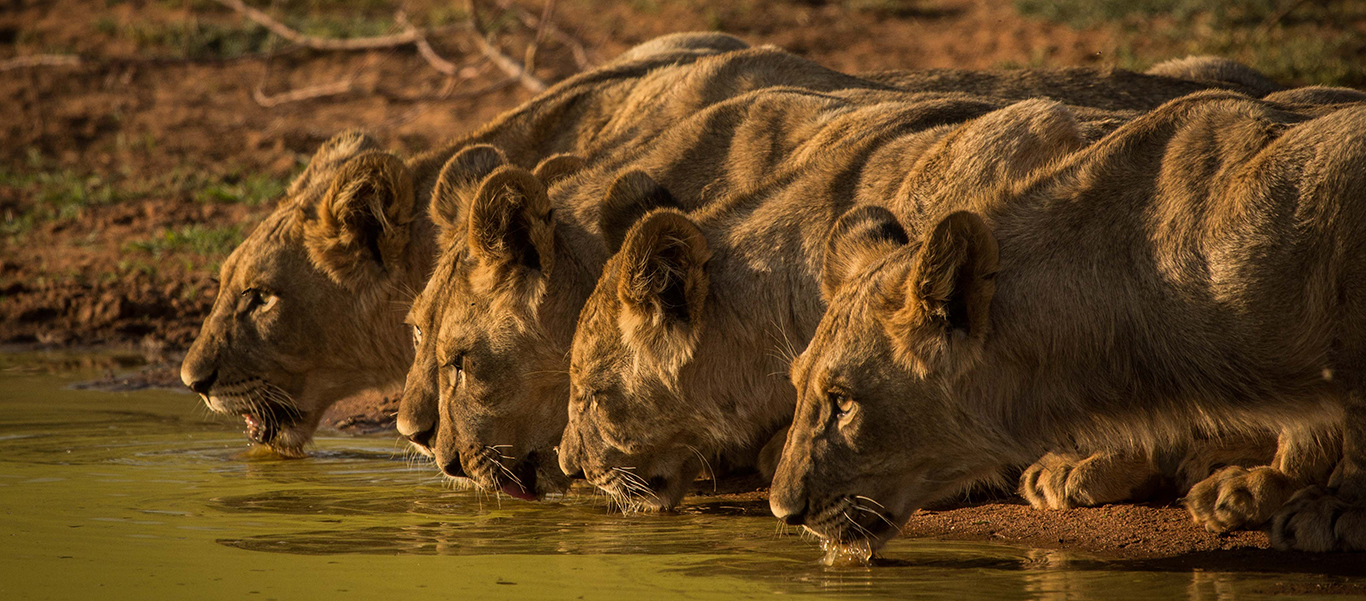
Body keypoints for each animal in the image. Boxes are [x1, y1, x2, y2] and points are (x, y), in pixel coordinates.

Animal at [775, 89, 1366, 560]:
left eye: (843, 402)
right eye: (798, 387)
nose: (783, 511)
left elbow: (1353, 414)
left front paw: (1339, 507)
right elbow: (1309, 422)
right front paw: (1272, 483)